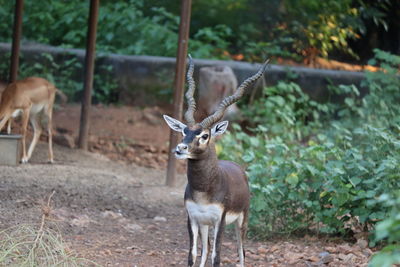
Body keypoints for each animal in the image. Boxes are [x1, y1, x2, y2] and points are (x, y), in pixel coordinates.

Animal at [162, 55, 268, 266]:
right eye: (184, 131)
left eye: (204, 135)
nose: (180, 148)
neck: (204, 189)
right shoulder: (193, 219)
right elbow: (193, 254)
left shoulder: (221, 220)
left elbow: (216, 256)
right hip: (205, 225)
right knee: (205, 249)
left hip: (242, 221)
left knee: (241, 251)